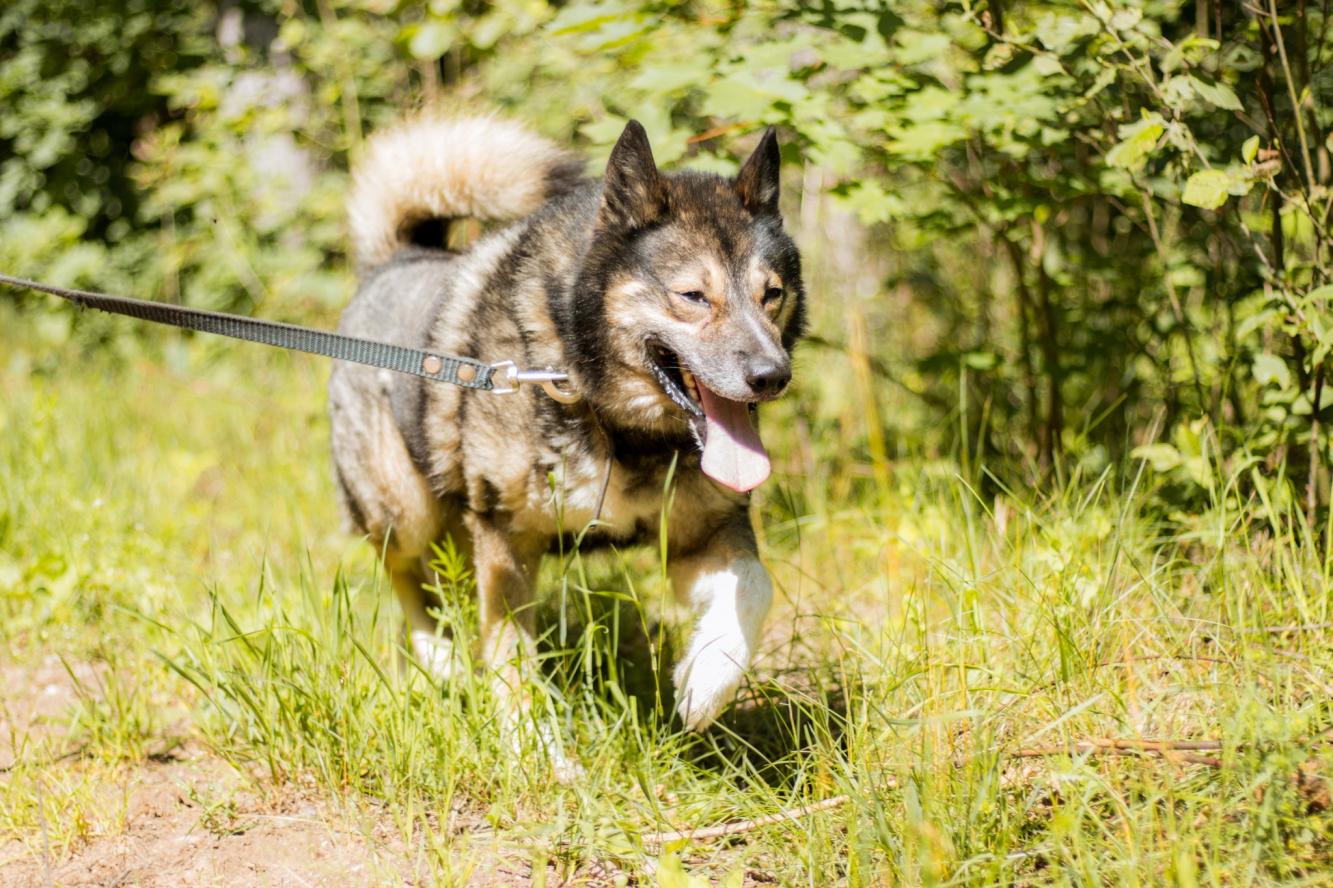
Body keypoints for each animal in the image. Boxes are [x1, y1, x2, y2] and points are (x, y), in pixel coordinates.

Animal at [328, 114, 805, 742]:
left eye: (771, 294)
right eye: (694, 297)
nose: (772, 376)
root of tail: (395, 260)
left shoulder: (697, 536)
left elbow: (754, 585)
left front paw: (705, 680)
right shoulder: (505, 544)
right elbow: (513, 661)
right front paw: (539, 751)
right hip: (404, 511)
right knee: (407, 575)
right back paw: (439, 658)